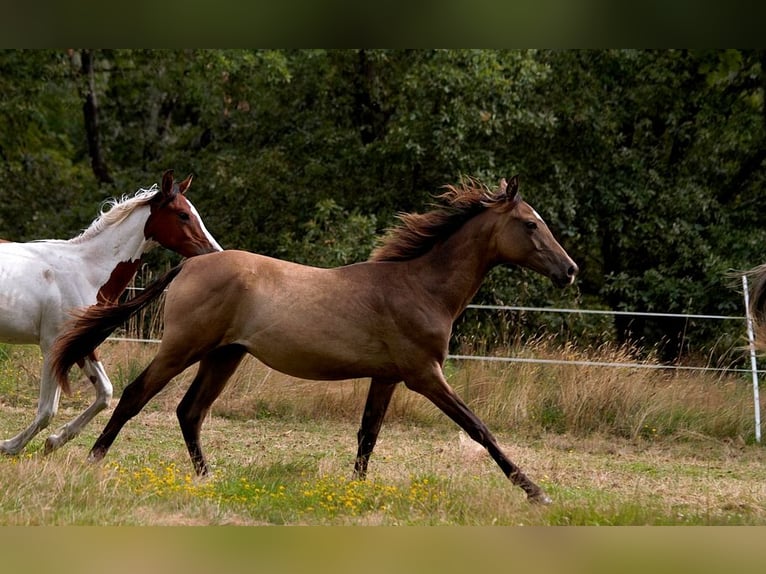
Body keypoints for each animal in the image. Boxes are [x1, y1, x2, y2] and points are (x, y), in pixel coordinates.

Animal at [0, 169, 224, 456]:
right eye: (183, 214)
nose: (216, 253)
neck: (86, 272)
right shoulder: (53, 347)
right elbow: (47, 410)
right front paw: (10, 446)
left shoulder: (82, 344)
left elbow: (105, 393)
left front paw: (55, 441)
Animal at [54, 176, 580, 504]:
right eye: (531, 224)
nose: (570, 271)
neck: (421, 288)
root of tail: (189, 265)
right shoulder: (424, 375)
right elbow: (479, 428)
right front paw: (536, 492)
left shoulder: (387, 377)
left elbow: (368, 433)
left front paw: (354, 491)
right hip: (183, 348)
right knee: (136, 395)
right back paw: (91, 461)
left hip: (224, 356)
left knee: (190, 411)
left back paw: (207, 479)